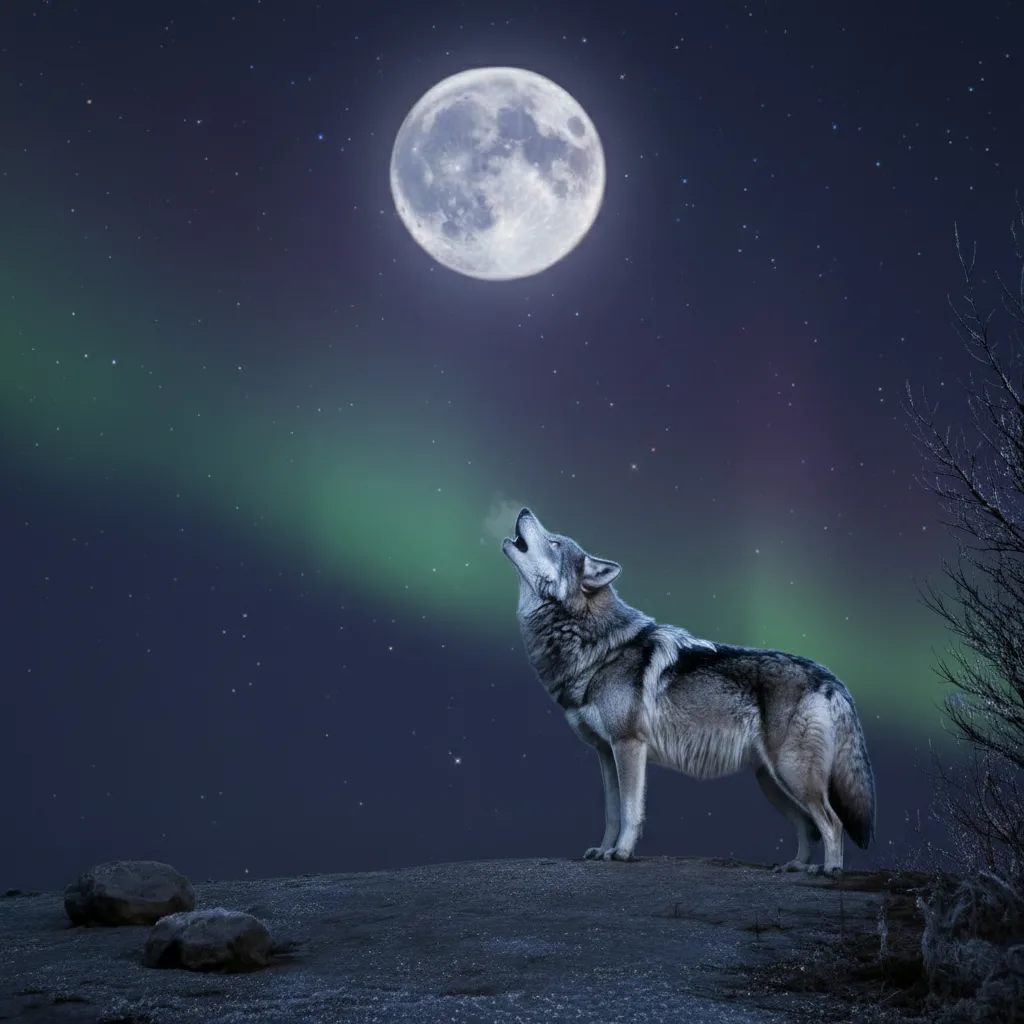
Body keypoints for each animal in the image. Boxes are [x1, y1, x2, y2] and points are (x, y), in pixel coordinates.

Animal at [502, 508, 876, 877]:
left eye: (554, 542)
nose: (524, 510)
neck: (595, 643)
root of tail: (832, 680)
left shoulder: (629, 744)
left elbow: (630, 810)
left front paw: (621, 852)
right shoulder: (606, 753)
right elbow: (611, 812)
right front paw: (603, 850)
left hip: (793, 775)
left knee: (832, 822)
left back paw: (829, 871)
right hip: (771, 781)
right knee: (808, 827)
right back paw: (796, 866)